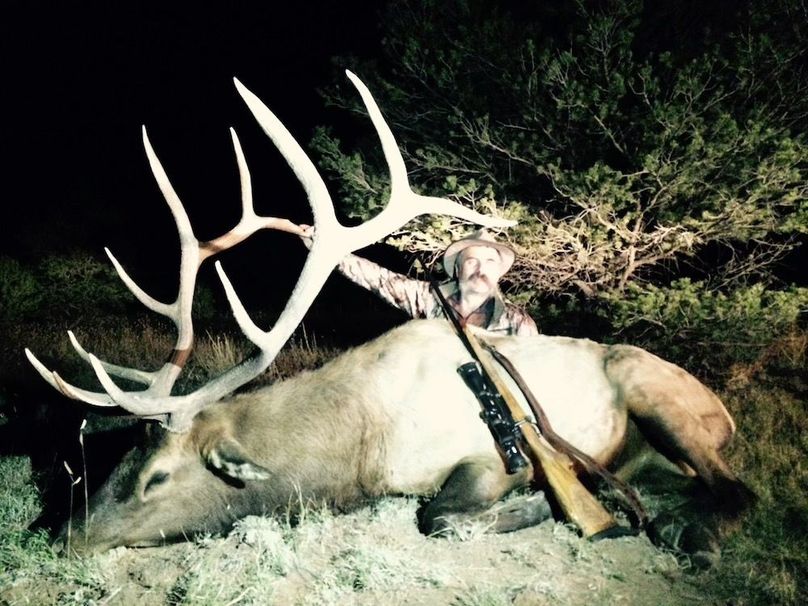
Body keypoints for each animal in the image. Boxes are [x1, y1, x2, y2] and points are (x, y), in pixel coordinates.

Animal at [26, 71, 753, 560]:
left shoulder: (493, 456)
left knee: (739, 488)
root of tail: (726, 408)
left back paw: (694, 537)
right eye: (117, 462)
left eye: (155, 477)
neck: (358, 447)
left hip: (654, 392)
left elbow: (440, 518)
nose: (62, 537)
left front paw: (544, 511)